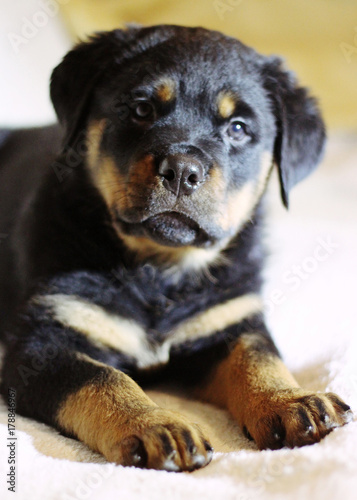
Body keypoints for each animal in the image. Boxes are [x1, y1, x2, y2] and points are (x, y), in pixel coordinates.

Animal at [0, 25, 350, 470]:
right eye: (142, 109)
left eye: (238, 128)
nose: (182, 169)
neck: (160, 271)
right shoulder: (41, 345)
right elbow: (103, 378)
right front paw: (155, 425)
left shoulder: (231, 319)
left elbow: (258, 358)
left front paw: (293, 400)